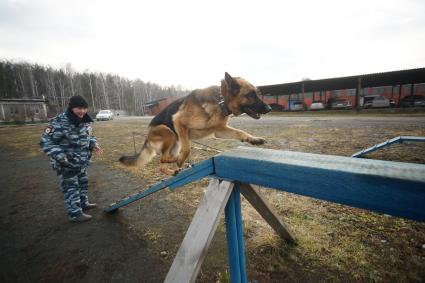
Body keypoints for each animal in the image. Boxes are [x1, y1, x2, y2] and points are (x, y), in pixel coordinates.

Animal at [118, 72, 272, 174]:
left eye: (257, 93)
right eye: (250, 94)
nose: (269, 108)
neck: (220, 101)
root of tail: (148, 134)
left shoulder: (220, 131)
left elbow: (240, 132)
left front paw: (253, 139)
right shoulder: (179, 122)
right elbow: (188, 149)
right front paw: (181, 160)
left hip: (175, 142)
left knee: (162, 162)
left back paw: (172, 171)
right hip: (169, 132)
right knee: (164, 157)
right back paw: (177, 160)